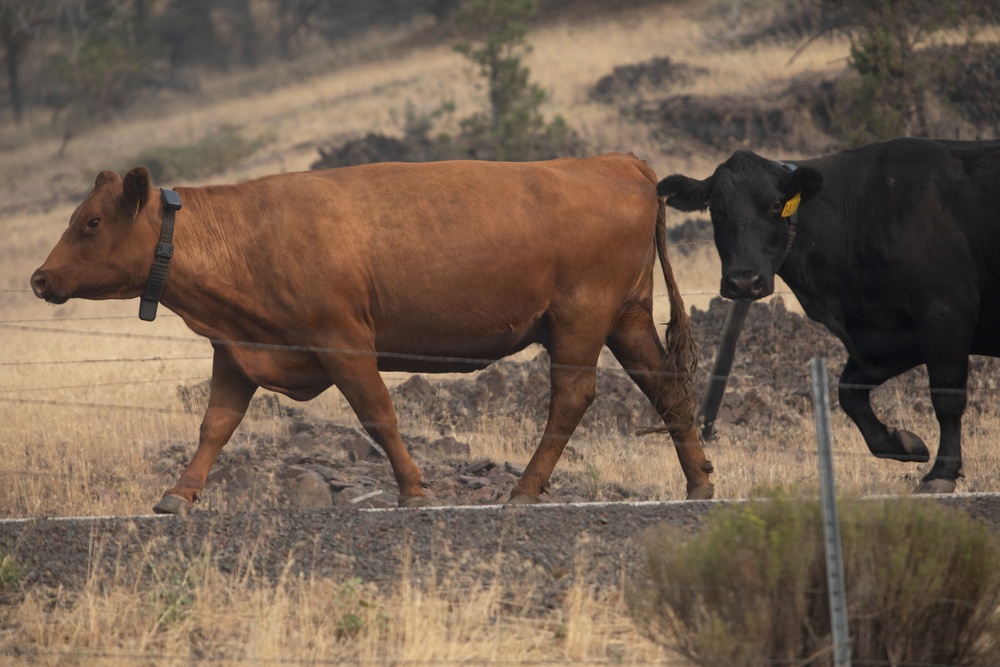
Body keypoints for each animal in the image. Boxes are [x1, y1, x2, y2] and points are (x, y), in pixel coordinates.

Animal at [31, 153, 715, 514]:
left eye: (91, 223)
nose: (39, 279)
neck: (245, 235)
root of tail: (613, 162)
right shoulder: (239, 353)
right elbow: (214, 427)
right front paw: (178, 494)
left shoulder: (343, 341)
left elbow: (378, 413)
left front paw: (415, 490)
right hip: (626, 318)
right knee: (667, 390)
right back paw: (699, 482)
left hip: (580, 320)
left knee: (572, 397)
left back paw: (522, 490)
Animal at [657, 137, 1000, 493]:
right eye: (715, 209)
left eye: (775, 204)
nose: (743, 281)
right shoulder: (886, 337)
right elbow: (848, 392)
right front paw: (902, 443)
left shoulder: (945, 315)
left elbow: (946, 397)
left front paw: (941, 473)